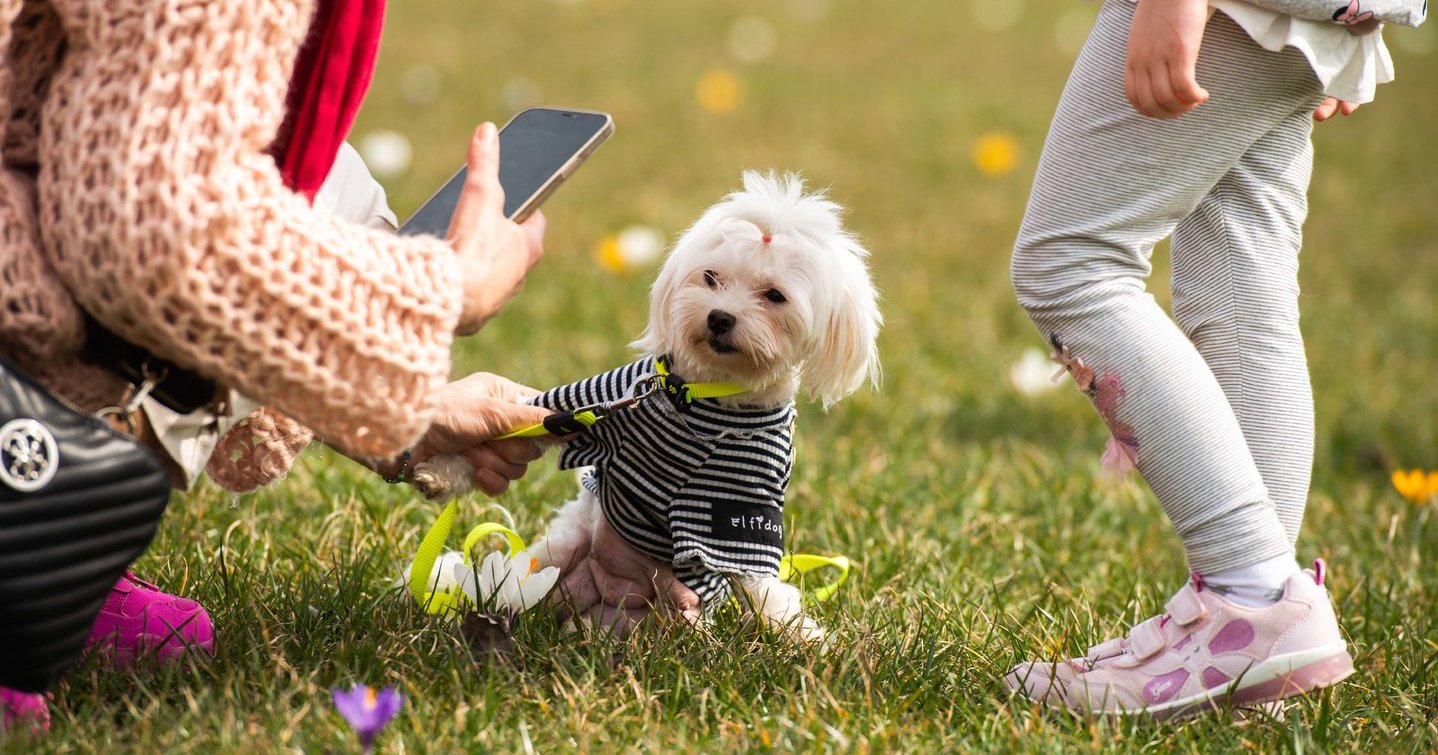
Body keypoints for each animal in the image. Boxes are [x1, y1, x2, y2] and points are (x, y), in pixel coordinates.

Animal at [411, 171, 880, 641]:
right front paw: (439, 471)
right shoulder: (593, 407)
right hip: (557, 551)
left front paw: (805, 638)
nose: (719, 317)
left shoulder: (745, 510)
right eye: (710, 277)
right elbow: (517, 431)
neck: (700, 397)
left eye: (775, 296)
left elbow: (763, 582)